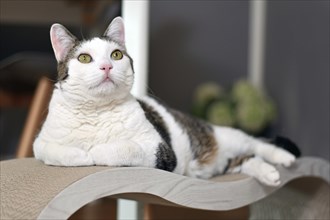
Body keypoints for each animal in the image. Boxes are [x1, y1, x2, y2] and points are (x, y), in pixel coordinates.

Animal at [33, 16, 300, 187]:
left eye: (116, 55)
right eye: (84, 58)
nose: (107, 66)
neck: (97, 111)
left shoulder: (158, 149)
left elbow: (121, 148)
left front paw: (95, 151)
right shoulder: (40, 143)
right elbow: (57, 153)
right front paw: (81, 154)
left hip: (227, 135)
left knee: (257, 144)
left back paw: (284, 158)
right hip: (225, 163)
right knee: (246, 159)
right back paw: (268, 173)